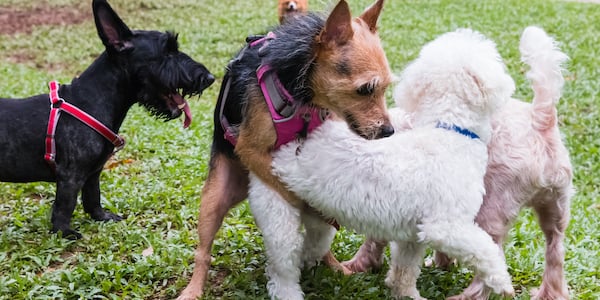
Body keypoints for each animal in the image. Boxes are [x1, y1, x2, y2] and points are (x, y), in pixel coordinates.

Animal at [0, 0, 214, 239]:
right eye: (167, 52)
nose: (209, 78)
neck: (91, 99)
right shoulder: (70, 175)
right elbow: (65, 205)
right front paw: (64, 232)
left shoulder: (93, 173)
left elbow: (93, 196)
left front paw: (101, 217)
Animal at [248, 27, 516, 298]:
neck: (448, 128)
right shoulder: (445, 227)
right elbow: (486, 250)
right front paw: (503, 282)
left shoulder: (412, 235)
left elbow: (404, 269)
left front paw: (406, 293)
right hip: (277, 207)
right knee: (283, 267)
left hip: (319, 219)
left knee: (312, 245)